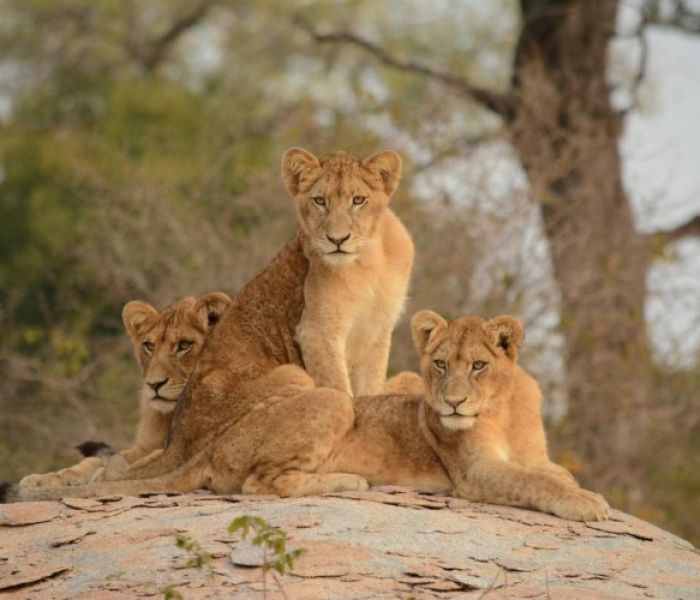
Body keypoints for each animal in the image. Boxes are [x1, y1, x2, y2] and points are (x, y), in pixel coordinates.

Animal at [18, 293, 232, 488]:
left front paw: (108, 474)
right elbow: (99, 460)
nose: (154, 385)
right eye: (149, 346)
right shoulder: (145, 446)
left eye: (184, 345)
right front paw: (45, 479)